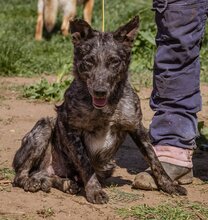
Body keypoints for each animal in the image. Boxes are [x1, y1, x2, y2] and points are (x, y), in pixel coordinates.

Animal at [12, 16, 186, 204]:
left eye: (114, 61)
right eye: (89, 61)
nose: (100, 91)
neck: (106, 108)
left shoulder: (136, 127)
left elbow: (154, 159)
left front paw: (169, 185)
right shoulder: (69, 128)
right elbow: (85, 163)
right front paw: (95, 191)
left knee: (49, 177)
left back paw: (66, 184)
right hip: (44, 127)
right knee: (20, 175)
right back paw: (30, 182)